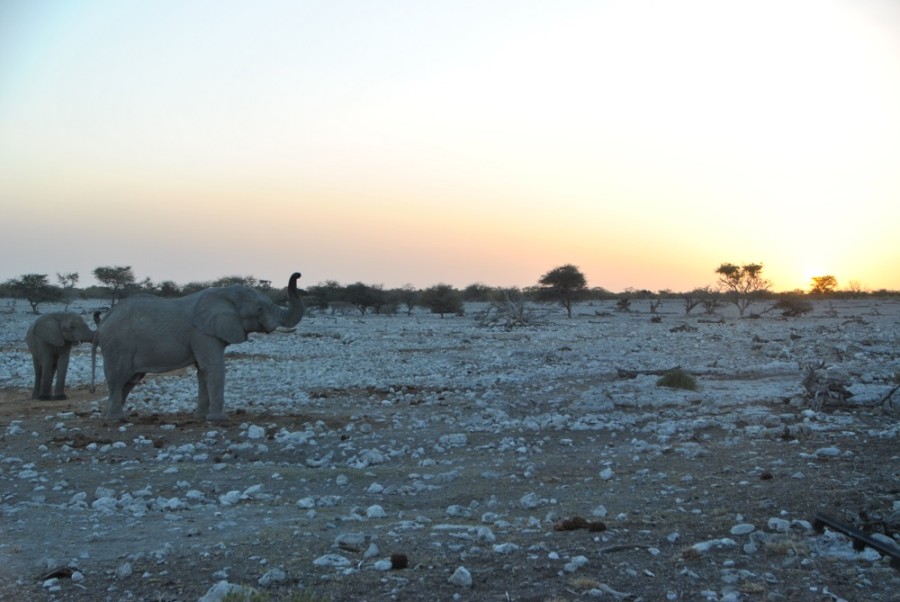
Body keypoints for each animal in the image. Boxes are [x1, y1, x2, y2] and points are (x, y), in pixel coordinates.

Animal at [92, 274, 306, 422]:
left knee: (129, 381)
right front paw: (219, 420)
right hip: (118, 345)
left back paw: (116, 416)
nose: (298, 274)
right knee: (118, 378)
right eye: (260, 309)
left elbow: (203, 371)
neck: (224, 293)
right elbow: (213, 367)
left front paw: (201, 417)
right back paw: (115, 419)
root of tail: (102, 323)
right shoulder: (204, 333)